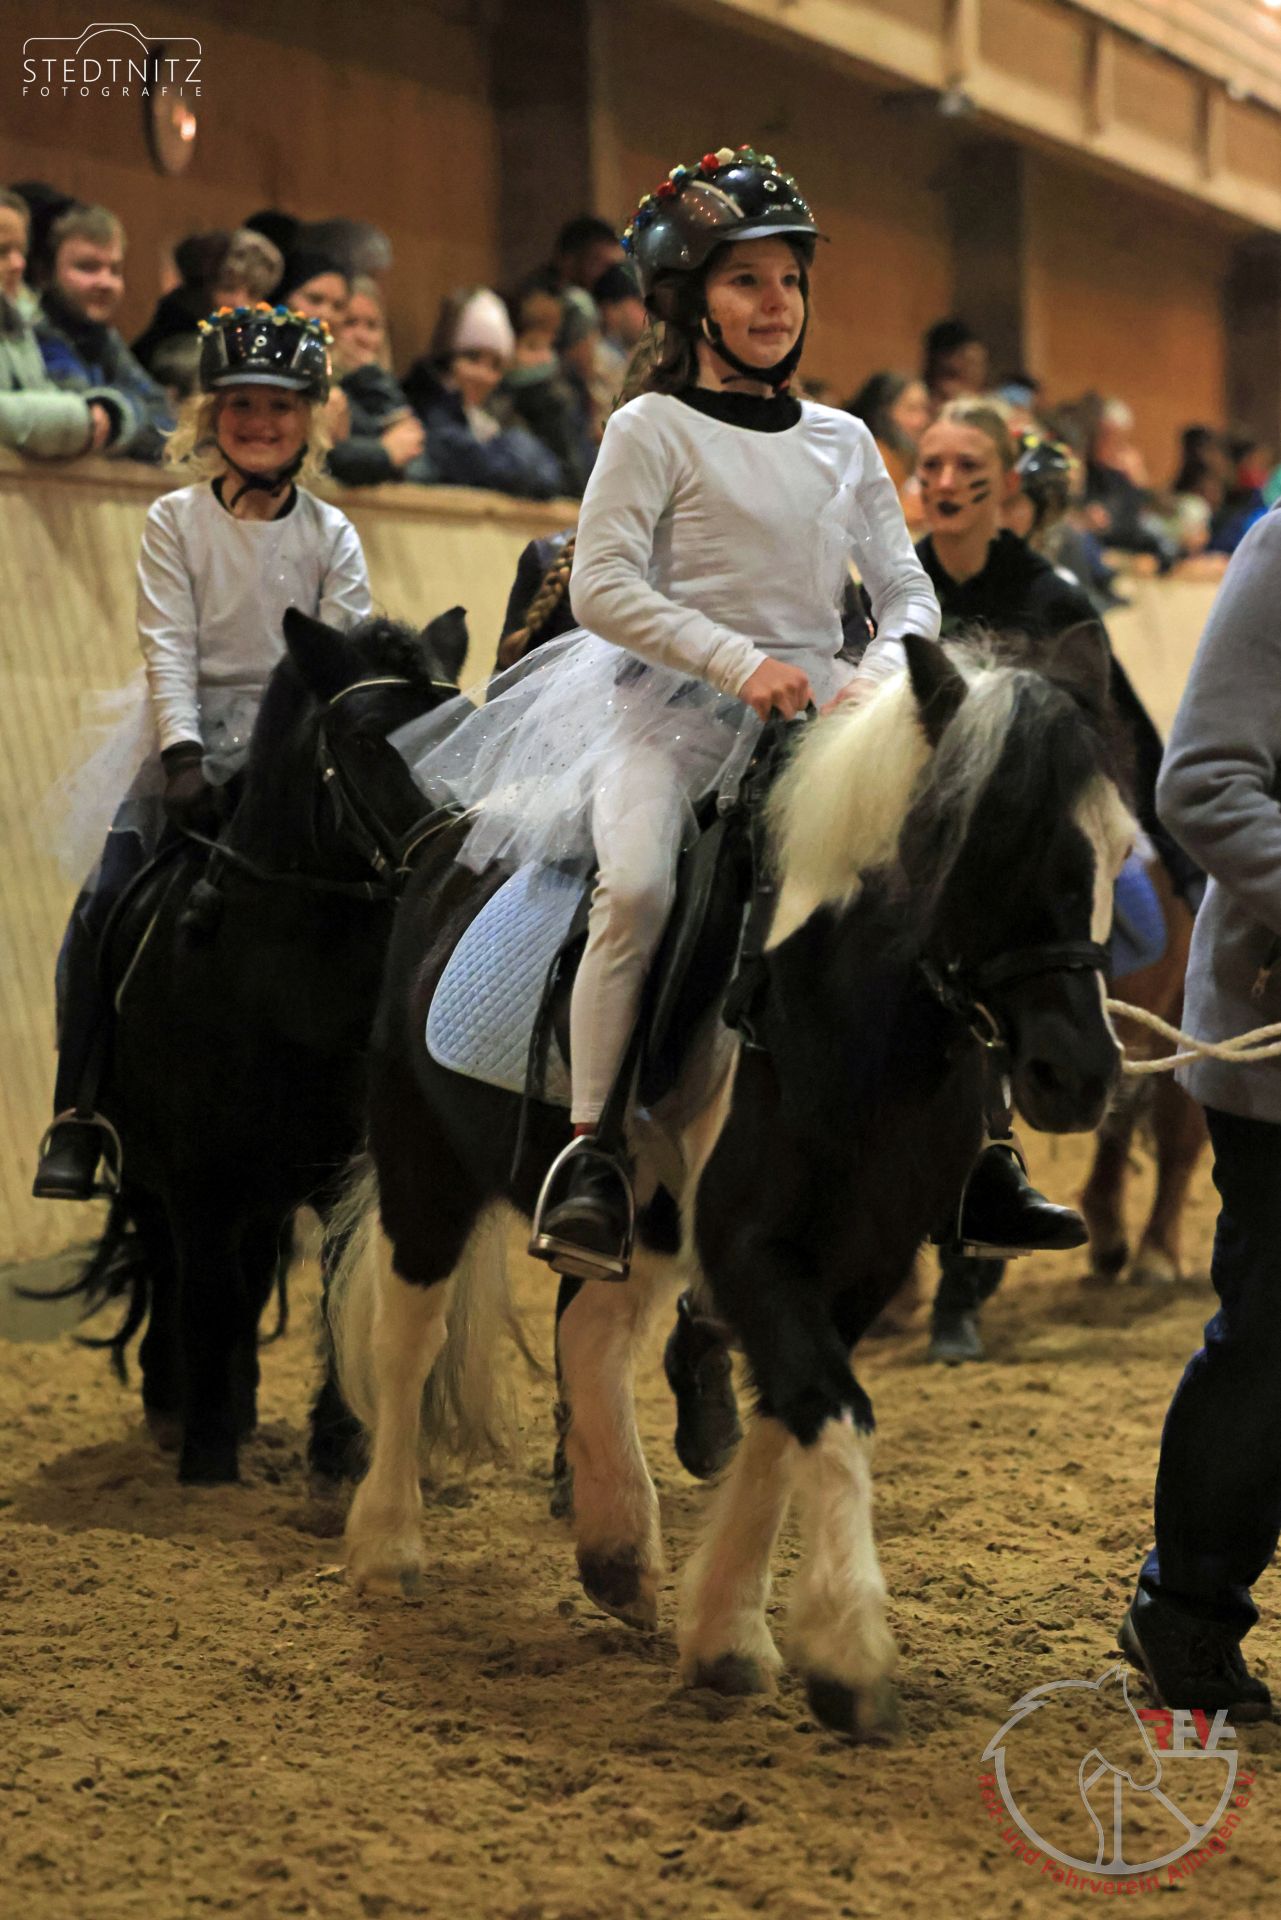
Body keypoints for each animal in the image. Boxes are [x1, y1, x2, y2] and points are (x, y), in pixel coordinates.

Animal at [44, 606, 466, 1486]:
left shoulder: (343, 1166)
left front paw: (336, 1449)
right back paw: (181, 1407)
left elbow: (336, 1292)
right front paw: (206, 1455)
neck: (289, 976)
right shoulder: (198, 1172)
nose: (453, 846)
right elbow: (205, 1291)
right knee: (177, 1268)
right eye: (366, 738)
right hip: (152, 1169)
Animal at [327, 626, 1134, 1738]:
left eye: (1119, 848)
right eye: (979, 841)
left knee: (590, 1333)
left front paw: (727, 1636)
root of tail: (447, 843)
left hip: (645, 1220)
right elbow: (827, 1408)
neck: (838, 1017)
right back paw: (388, 1546)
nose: (1079, 1076)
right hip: (425, 1161)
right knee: (410, 1337)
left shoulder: (858, 1258)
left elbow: (789, 1416)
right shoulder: (755, 1247)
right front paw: (849, 1655)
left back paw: (619, 1552)